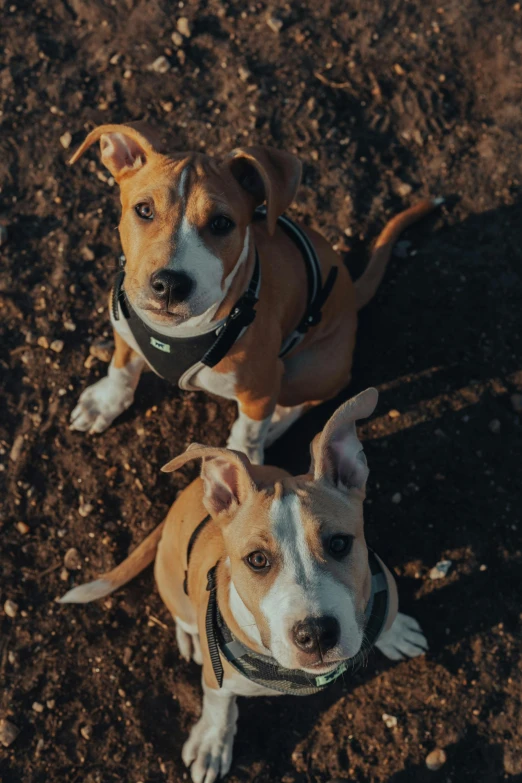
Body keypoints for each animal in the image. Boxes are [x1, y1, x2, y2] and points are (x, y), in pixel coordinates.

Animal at [62, 390, 426, 783]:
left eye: (340, 543)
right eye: (257, 560)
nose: (315, 634)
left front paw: (396, 631)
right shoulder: (216, 677)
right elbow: (219, 708)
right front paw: (212, 745)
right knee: (183, 617)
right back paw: (190, 638)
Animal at [67, 122, 436, 466]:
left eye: (221, 224)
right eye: (144, 210)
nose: (170, 284)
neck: (178, 333)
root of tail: (350, 289)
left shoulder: (260, 388)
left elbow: (249, 431)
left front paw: (245, 461)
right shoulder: (125, 329)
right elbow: (121, 369)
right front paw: (103, 404)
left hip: (308, 369)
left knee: (307, 399)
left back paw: (277, 424)